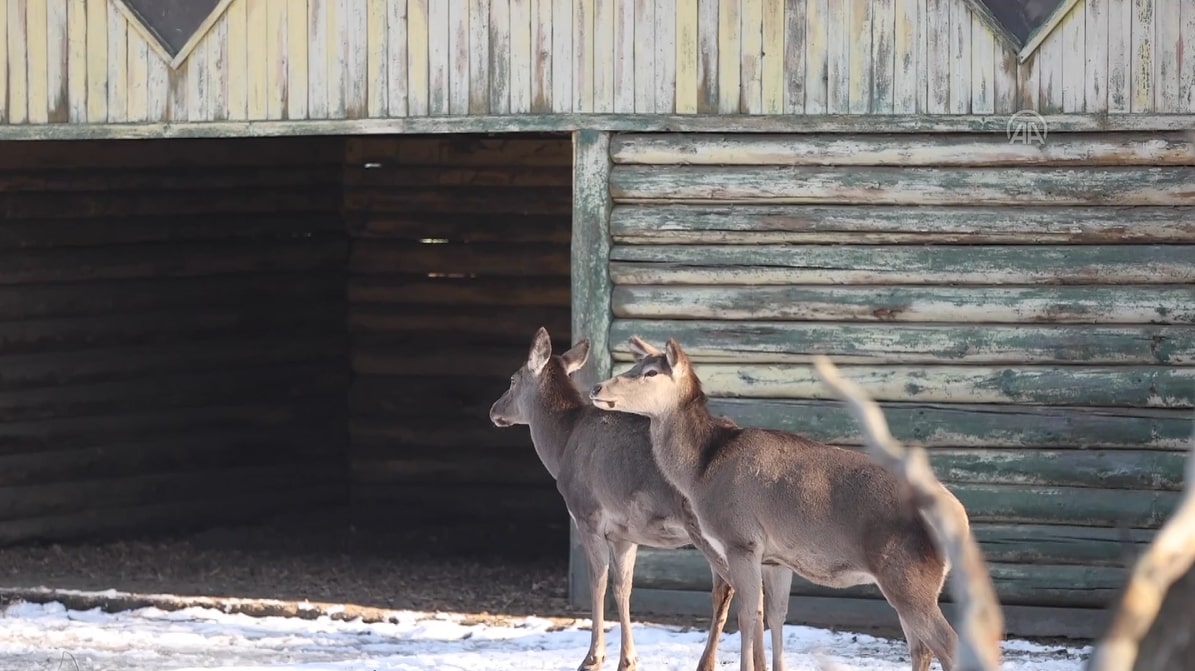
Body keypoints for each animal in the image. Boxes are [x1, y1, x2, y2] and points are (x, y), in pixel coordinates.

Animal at [485, 327, 793, 668]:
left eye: (513, 379)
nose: (494, 410)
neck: (562, 447)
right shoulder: (624, 533)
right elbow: (623, 587)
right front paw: (628, 659)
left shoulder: (587, 514)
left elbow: (598, 582)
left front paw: (593, 657)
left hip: (709, 529)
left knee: (733, 589)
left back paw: (711, 662)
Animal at [587, 336, 970, 668]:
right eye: (636, 364)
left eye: (651, 372)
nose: (596, 388)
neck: (701, 471)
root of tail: (960, 519)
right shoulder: (776, 559)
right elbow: (774, 616)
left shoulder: (740, 539)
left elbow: (746, 614)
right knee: (921, 647)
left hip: (907, 574)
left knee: (947, 645)